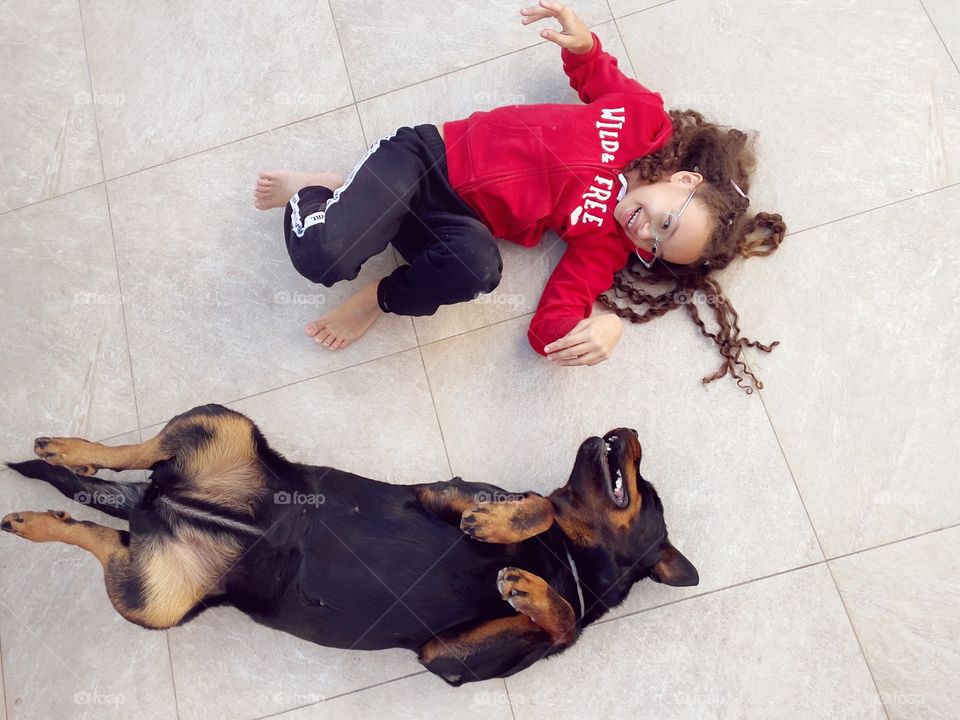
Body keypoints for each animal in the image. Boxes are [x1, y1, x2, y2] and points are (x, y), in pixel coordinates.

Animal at [1, 402, 696, 684]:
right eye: (651, 485)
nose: (630, 429)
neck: (572, 564)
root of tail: (157, 505)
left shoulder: (449, 658)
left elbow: (563, 620)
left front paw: (529, 588)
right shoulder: (444, 491)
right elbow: (543, 508)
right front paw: (504, 533)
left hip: (156, 594)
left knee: (107, 531)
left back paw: (47, 513)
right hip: (224, 425)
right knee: (138, 453)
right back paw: (64, 460)